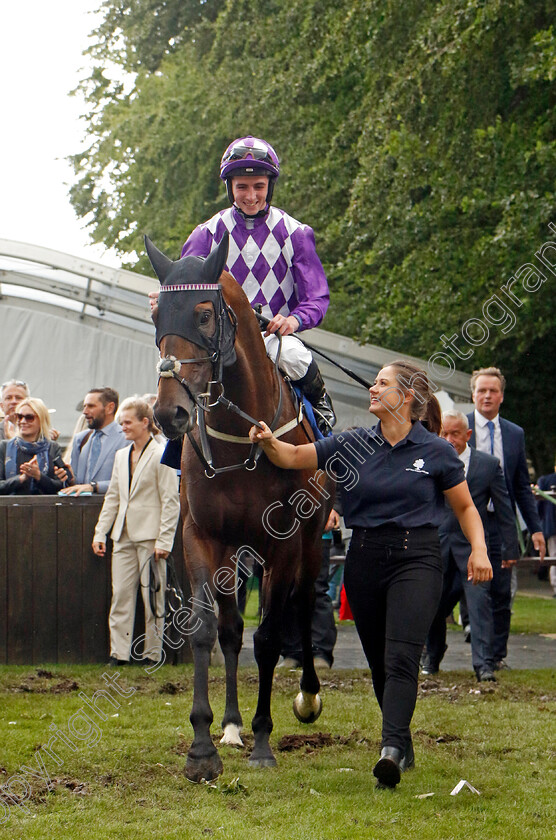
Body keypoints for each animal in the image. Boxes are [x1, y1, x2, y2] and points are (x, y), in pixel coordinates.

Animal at [146, 231, 332, 780]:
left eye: (205, 315)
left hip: (312, 544)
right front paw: (203, 745)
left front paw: (264, 741)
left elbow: (268, 636)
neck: (239, 441)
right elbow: (209, 630)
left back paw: (308, 695)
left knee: (304, 604)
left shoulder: (283, 545)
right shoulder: (201, 538)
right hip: (235, 552)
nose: (169, 412)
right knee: (231, 631)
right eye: (157, 316)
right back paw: (230, 726)